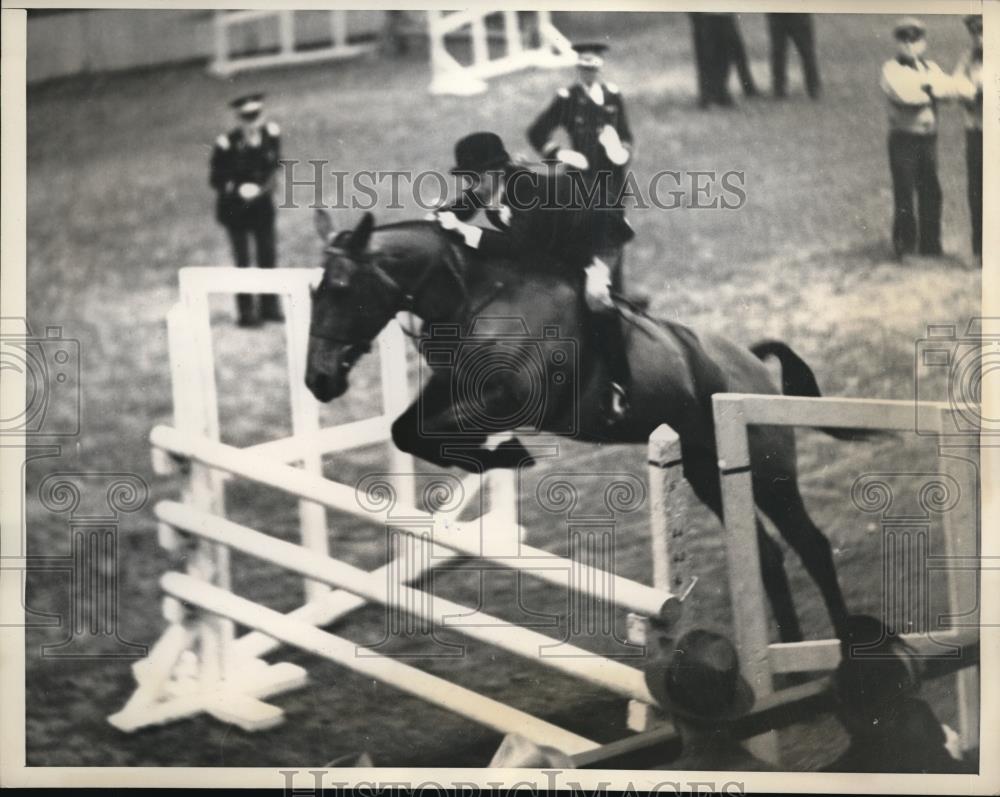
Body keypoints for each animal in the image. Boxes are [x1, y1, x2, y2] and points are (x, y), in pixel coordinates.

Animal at [308, 210, 872, 640]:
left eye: (340, 287)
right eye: (314, 290)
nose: (318, 379)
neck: (478, 298)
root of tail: (753, 366)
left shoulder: (515, 399)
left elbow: (435, 432)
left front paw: (508, 453)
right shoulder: (450, 392)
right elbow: (408, 430)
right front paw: (498, 455)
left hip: (770, 473)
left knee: (811, 545)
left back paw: (843, 650)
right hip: (706, 471)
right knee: (770, 556)